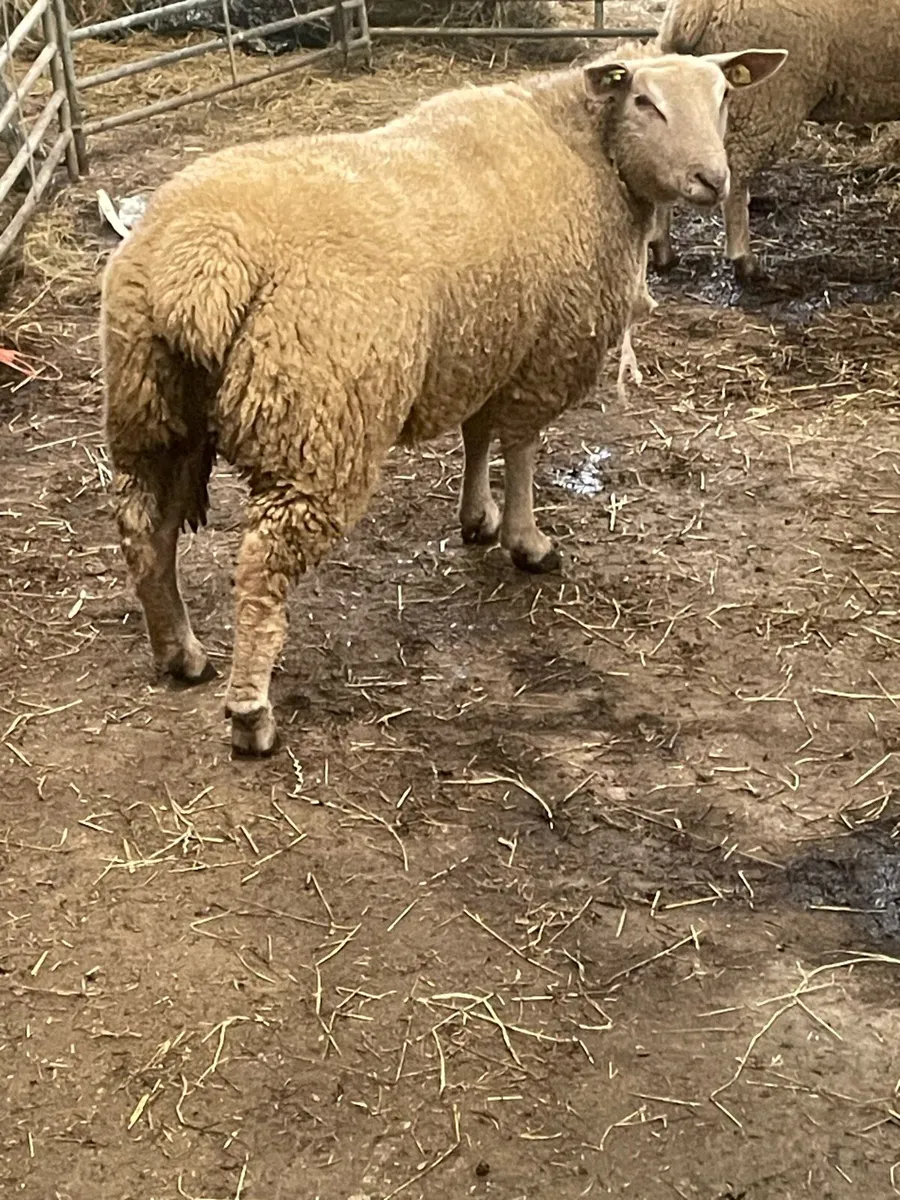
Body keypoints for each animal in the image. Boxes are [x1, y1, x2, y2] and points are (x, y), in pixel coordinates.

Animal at [101, 47, 787, 756]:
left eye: (724, 98)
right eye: (645, 102)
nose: (711, 178)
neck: (584, 149)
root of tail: (203, 267)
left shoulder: (490, 343)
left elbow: (477, 434)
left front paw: (476, 516)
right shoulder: (544, 352)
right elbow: (521, 447)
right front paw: (526, 540)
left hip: (153, 412)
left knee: (145, 532)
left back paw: (180, 654)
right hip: (317, 431)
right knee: (263, 566)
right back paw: (250, 713)